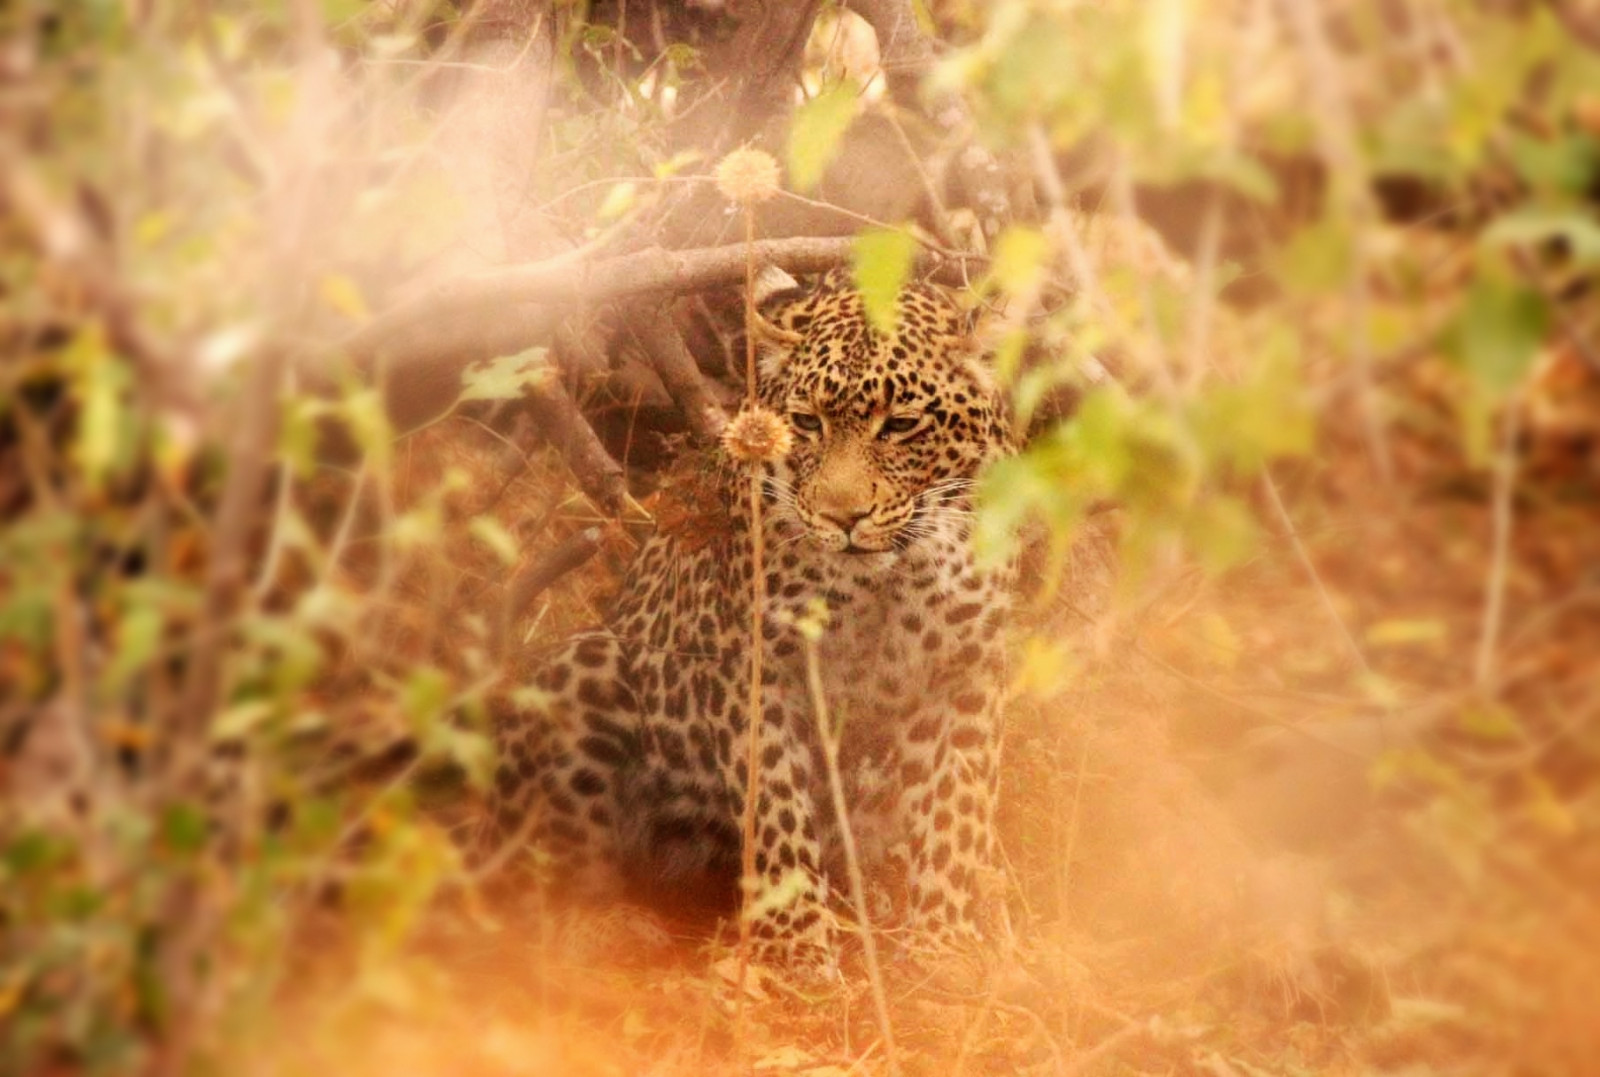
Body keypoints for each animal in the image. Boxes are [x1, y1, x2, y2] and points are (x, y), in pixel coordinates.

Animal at [481, 269, 1015, 964]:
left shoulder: (967, 666)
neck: (886, 578)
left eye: (900, 425)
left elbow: (959, 806)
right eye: (807, 422)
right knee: (539, 888)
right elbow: (775, 804)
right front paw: (799, 949)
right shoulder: (757, 664)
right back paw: (613, 928)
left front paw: (945, 942)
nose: (843, 517)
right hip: (586, 666)